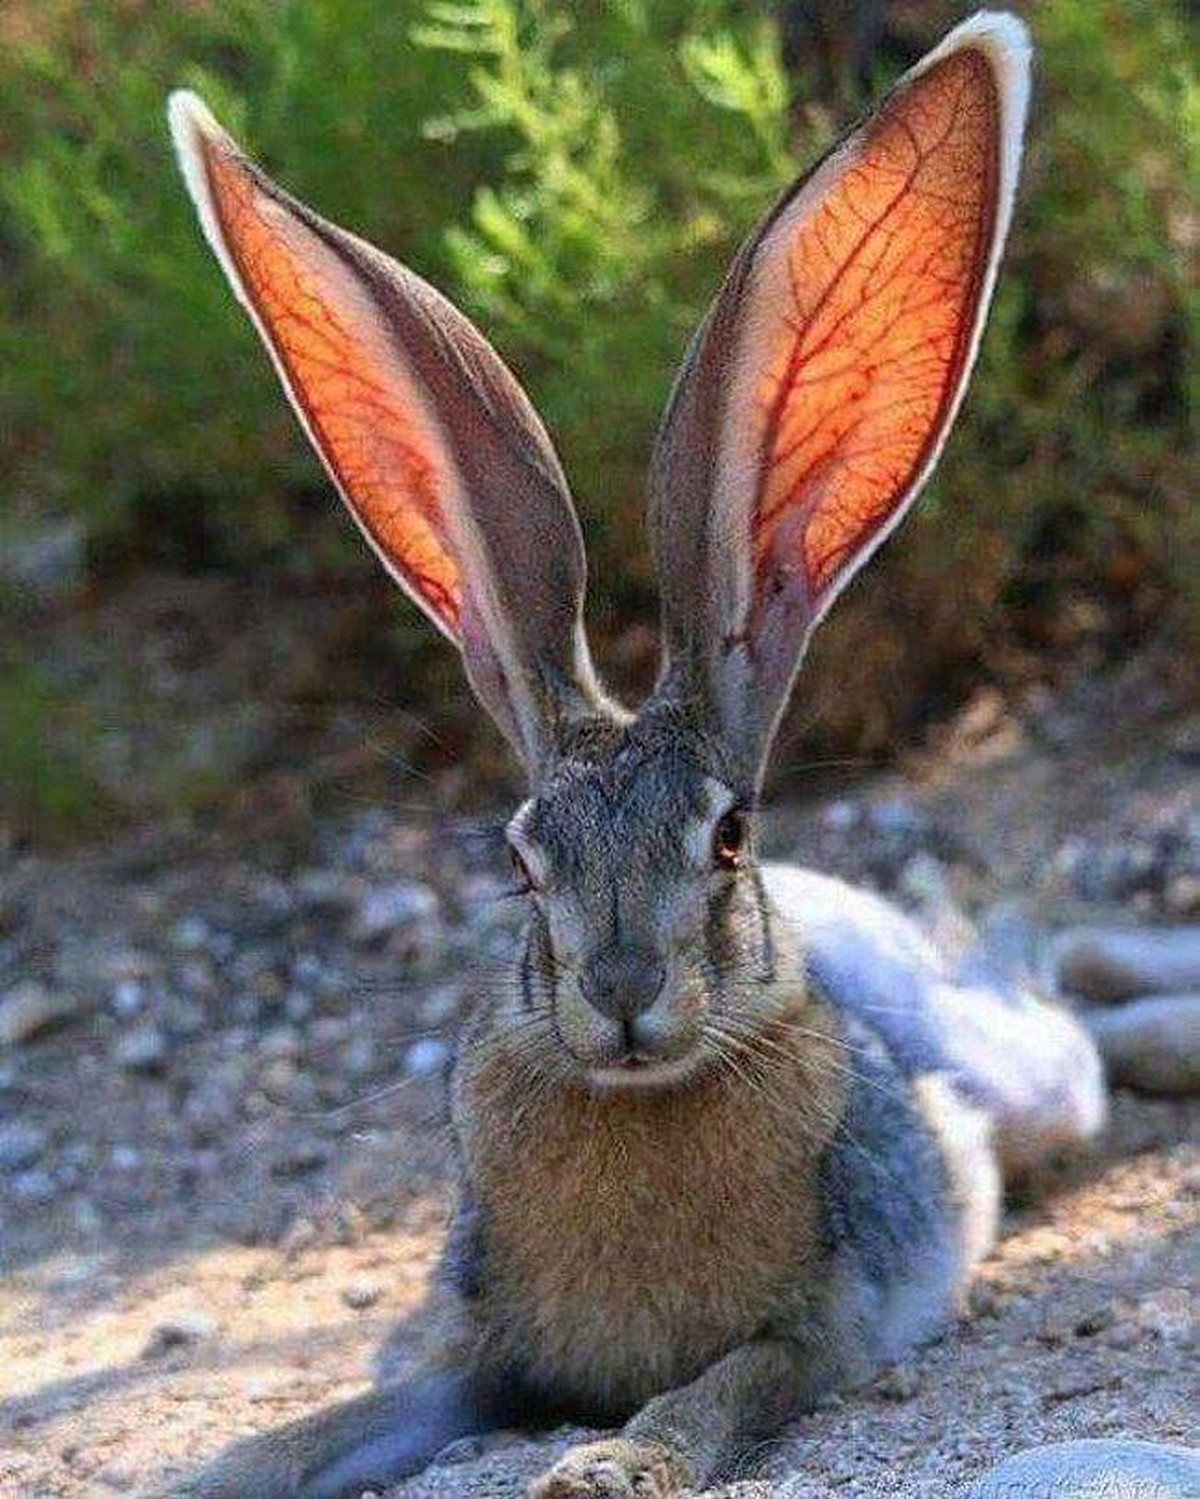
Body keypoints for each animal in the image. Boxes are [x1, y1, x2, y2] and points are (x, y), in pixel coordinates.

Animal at [165, 11, 1166, 1497]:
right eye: (520, 856)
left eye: (729, 834)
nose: (625, 994)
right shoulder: (478, 1355)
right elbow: (329, 1423)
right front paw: (202, 1470)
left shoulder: (816, 1323)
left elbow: (718, 1390)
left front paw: (608, 1464)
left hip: (1019, 1078)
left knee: (1060, 1008)